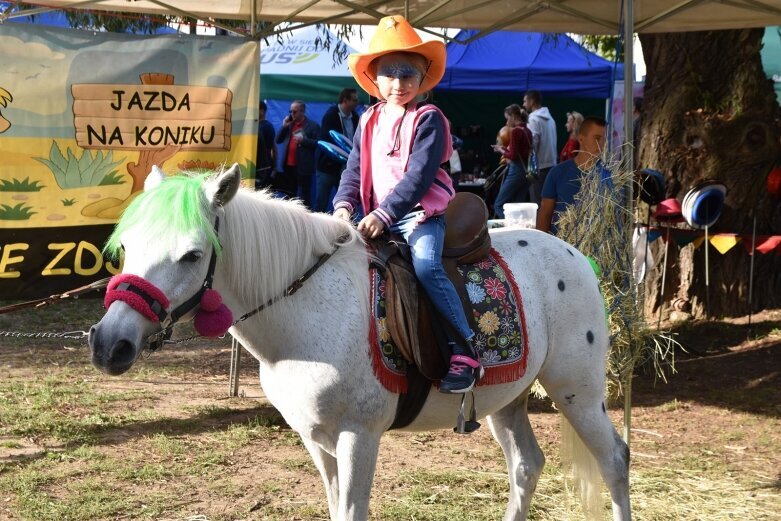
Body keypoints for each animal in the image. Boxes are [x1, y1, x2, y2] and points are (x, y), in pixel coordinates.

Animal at [88, 166, 632, 520]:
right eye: (127, 245)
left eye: (192, 255)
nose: (108, 344)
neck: (305, 310)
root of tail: (576, 255)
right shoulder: (315, 438)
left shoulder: (359, 436)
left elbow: (353, 510)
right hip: (507, 399)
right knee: (526, 466)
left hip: (578, 393)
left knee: (614, 460)